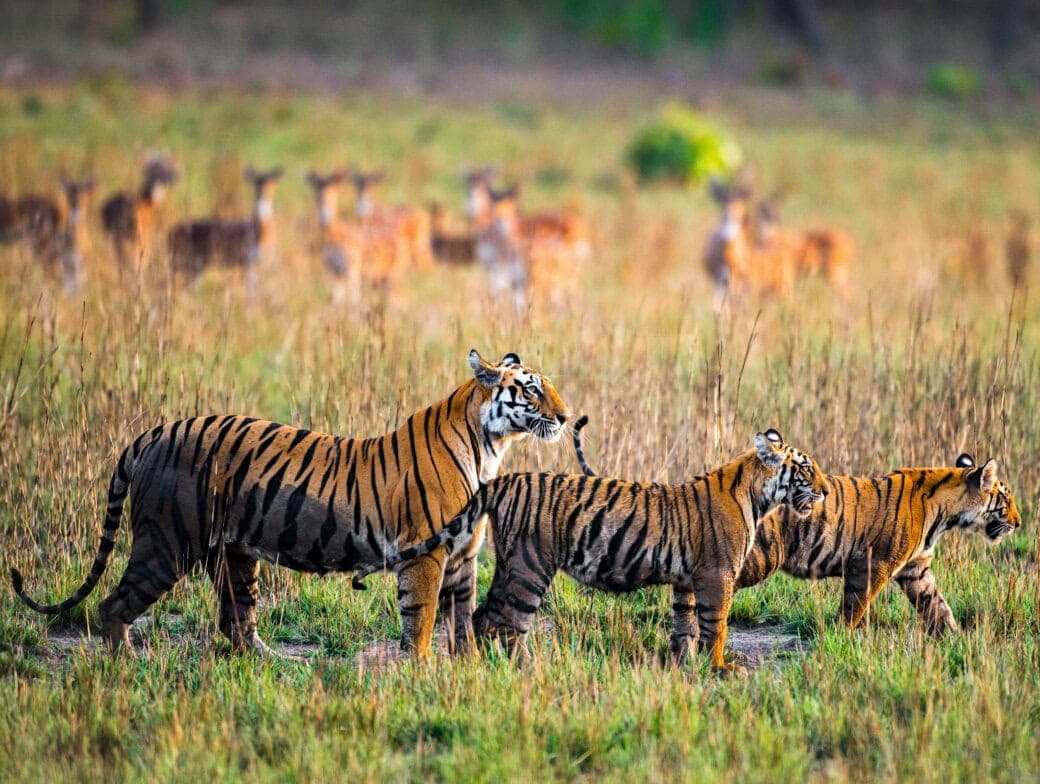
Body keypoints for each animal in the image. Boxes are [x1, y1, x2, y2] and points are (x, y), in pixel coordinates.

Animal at [10, 350, 572, 659]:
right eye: (531, 391)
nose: (567, 418)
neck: (490, 447)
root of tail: (153, 432)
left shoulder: (463, 554)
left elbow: (463, 618)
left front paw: (468, 670)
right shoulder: (426, 553)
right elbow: (424, 616)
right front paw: (421, 670)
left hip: (233, 555)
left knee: (236, 621)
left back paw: (277, 663)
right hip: (165, 544)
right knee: (114, 605)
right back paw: (125, 665)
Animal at [352, 428, 829, 674]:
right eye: (806, 468)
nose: (825, 491)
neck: (758, 494)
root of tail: (504, 478)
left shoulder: (687, 581)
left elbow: (686, 624)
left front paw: (679, 663)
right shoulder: (716, 575)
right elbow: (718, 625)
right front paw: (719, 667)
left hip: (511, 564)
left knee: (485, 616)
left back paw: (488, 664)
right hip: (530, 568)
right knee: (511, 622)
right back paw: (526, 669)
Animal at [570, 421, 1021, 636]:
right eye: (1007, 497)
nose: (1018, 522)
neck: (946, 514)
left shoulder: (916, 570)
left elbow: (939, 608)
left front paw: (955, 639)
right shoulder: (873, 564)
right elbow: (856, 607)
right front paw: (840, 639)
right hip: (752, 560)